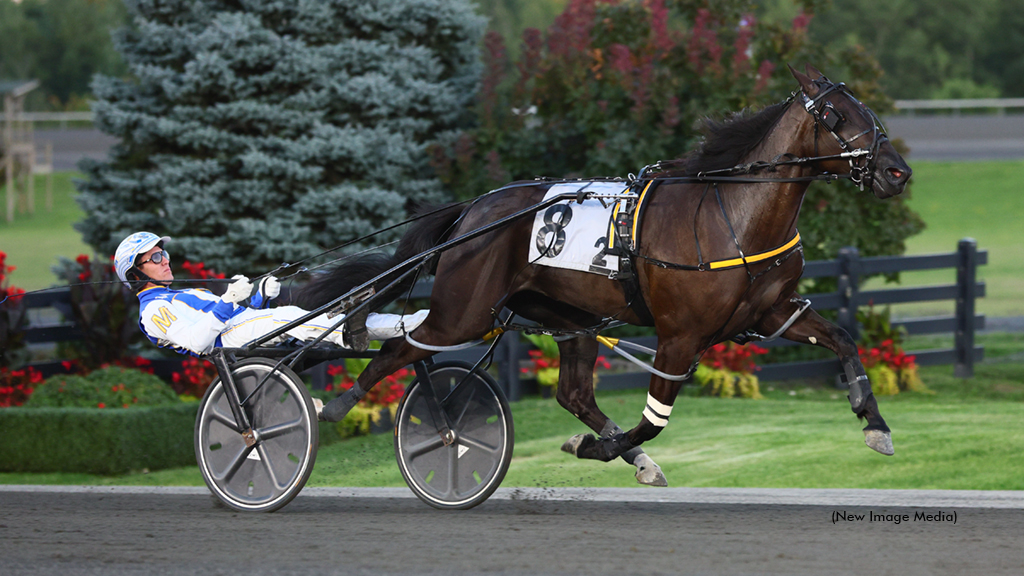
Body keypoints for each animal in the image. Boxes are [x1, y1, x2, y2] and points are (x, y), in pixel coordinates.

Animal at [296, 66, 913, 483]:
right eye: (836, 116)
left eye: (866, 110)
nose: (896, 171)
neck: (732, 216)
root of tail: (474, 210)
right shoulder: (680, 336)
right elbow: (656, 417)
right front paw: (597, 449)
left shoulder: (773, 314)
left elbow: (843, 340)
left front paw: (875, 425)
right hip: (462, 310)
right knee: (402, 347)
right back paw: (337, 405)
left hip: (572, 319)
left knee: (572, 393)